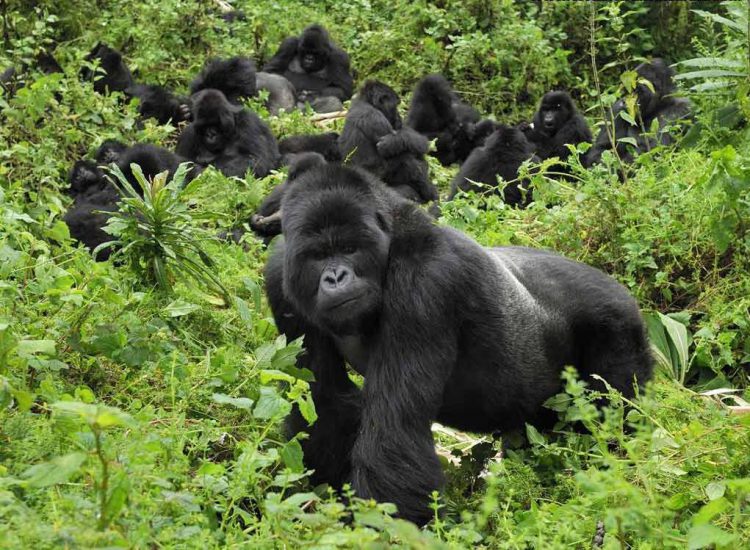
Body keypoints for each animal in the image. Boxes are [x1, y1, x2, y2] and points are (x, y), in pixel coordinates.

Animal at [268, 163, 656, 528]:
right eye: (319, 255)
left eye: (350, 248)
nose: (335, 277)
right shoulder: (281, 280)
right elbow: (324, 405)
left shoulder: (425, 280)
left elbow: (394, 432)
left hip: (619, 326)